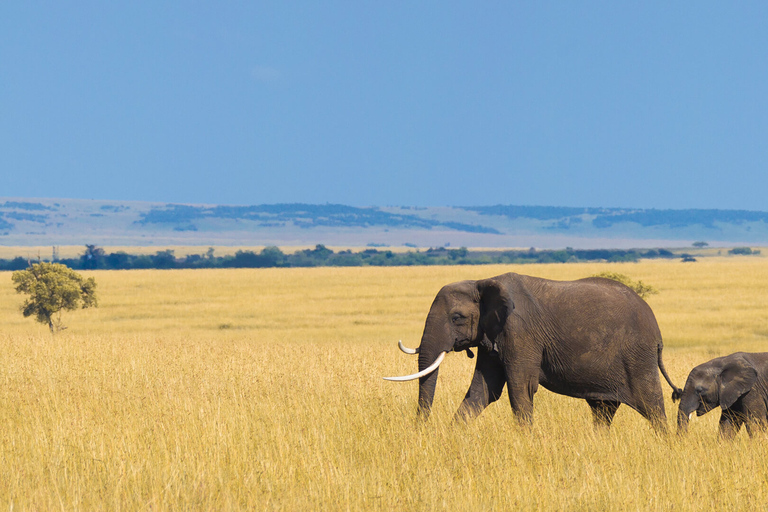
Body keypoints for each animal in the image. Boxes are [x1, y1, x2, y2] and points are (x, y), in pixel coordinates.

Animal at [384, 274, 684, 430]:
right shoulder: (493, 335)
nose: (421, 431)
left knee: (651, 405)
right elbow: (483, 390)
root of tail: (656, 331)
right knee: (603, 410)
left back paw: (666, 443)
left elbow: (520, 388)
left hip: (637, 356)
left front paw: (525, 440)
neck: (482, 281)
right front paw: (452, 435)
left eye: (457, 318)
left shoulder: (520, 333)